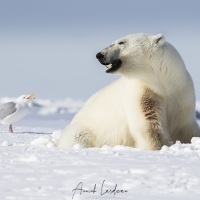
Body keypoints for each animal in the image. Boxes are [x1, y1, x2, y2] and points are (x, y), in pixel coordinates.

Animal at [56, 33, 200, 150]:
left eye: (121, 42)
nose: (99, 55)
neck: (162, 82)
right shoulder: (142, 91)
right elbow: (148, 122)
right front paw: (157, 147)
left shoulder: (181, 91)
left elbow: (184, 124)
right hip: (84, 129)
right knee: (78, 136)